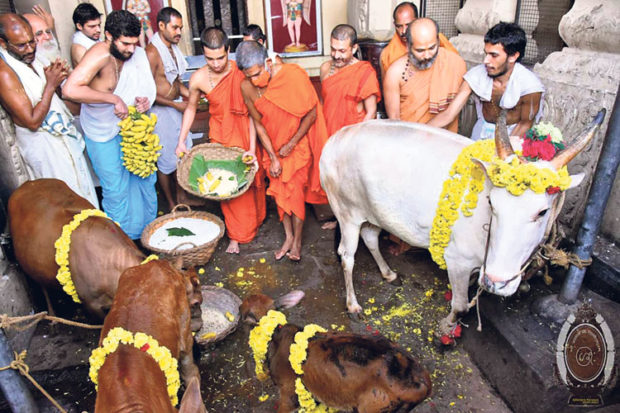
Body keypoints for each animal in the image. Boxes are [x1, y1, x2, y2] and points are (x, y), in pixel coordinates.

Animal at [320, 110, 604, 334]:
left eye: (542, 212)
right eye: (492, 203)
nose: (496, 282)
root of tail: (335, 139)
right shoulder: (458, 260)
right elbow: (459, 306)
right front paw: (446, 329)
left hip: (372, 212)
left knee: (370, 238)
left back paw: (388, 273)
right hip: (347, 214)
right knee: (347, 255)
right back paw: (353, 304)